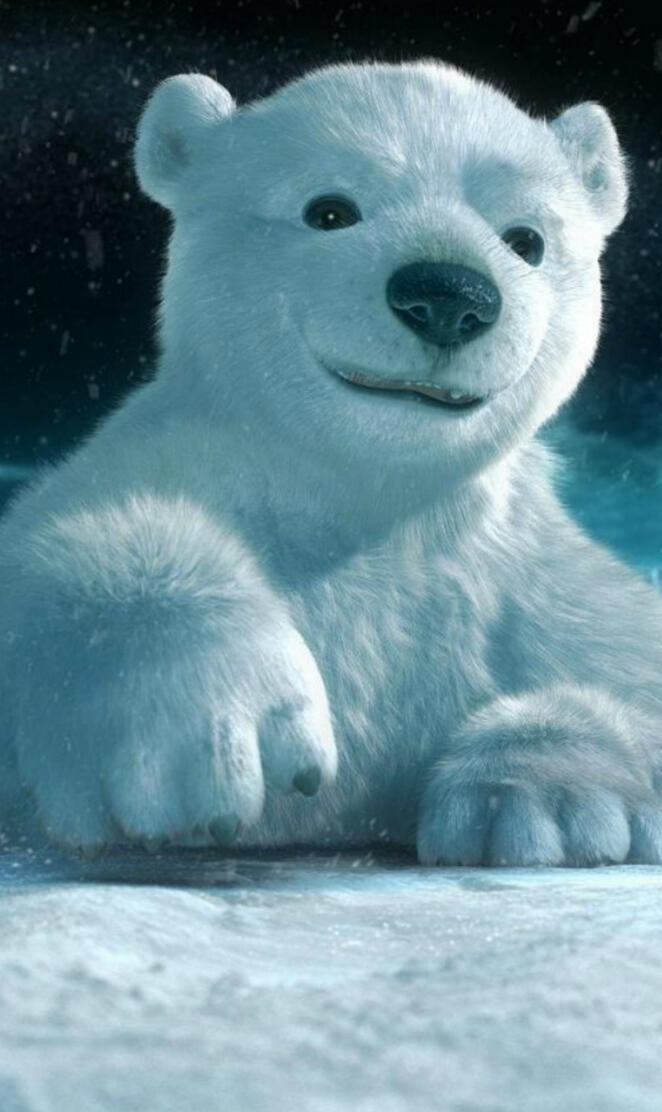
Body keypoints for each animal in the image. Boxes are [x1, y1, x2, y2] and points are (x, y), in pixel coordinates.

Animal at [0, 59, 661, 866]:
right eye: (330, 211)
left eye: (527, 239)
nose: (448, 295)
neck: (368, 501)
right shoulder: (180, 463)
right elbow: (61, 553)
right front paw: (214, 727)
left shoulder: (523, 575)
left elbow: (625, 658)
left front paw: (542, 800)